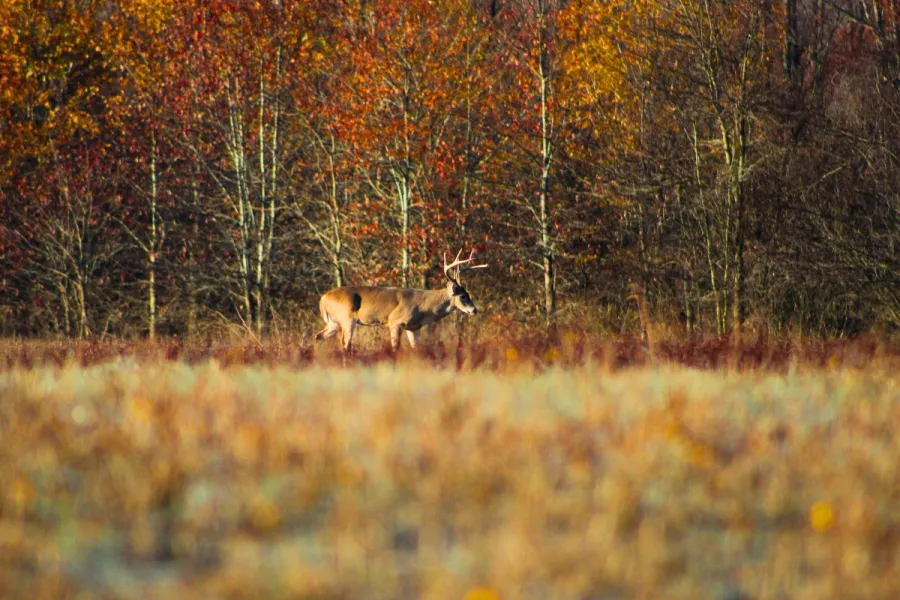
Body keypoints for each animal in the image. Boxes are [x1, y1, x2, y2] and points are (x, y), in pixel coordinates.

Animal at [314, 249, 487, 353]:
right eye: (462, 295)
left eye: (468, 293)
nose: (474, 310)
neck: (424, 308)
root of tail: (323, 298)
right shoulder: (395, 321)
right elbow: (395, 348)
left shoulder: (414, 327)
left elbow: (417, 348)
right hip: (347, 318)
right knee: (345, 344)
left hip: (334, 322)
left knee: (318, 336)